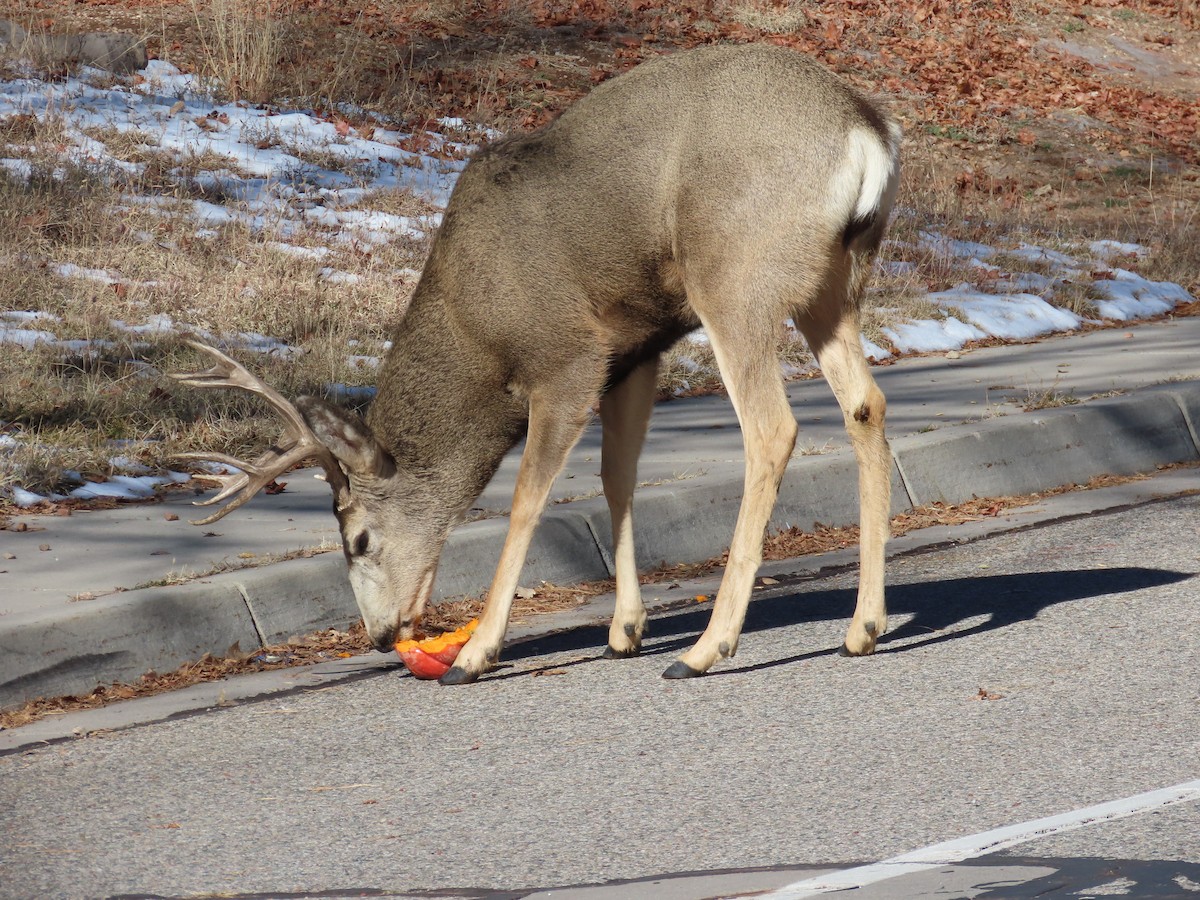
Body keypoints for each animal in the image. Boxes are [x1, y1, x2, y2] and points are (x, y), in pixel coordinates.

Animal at [172, 43, 901, 683]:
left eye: (358, 540)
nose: (378, 636)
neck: (475, 327)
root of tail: (867, 132)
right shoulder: (634, 349)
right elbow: (616, 478)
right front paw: (623, 630)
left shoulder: (568, 355)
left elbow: (526, 498)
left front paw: (475, 654)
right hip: (835, 283)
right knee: (865, 404)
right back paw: (862, 628)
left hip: (734, 277)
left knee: (772, 430)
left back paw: (704, 650)